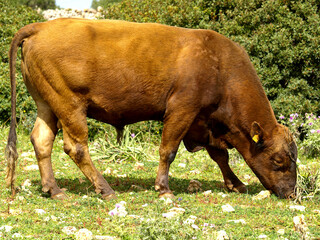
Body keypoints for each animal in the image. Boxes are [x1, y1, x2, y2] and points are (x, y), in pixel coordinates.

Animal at [5, 18, 298, 200]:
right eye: (278, 161)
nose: (292, 193)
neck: (220, 66)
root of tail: (41, 27)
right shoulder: (182, 110)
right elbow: (168, 150)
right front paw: (164, 188)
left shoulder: (204, 122)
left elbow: (220, 156)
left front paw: (235, 183)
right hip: (69, 104)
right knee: (76, 147)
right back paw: (104, 188)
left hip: (47, 104)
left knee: (42, 141)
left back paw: (53, 189)